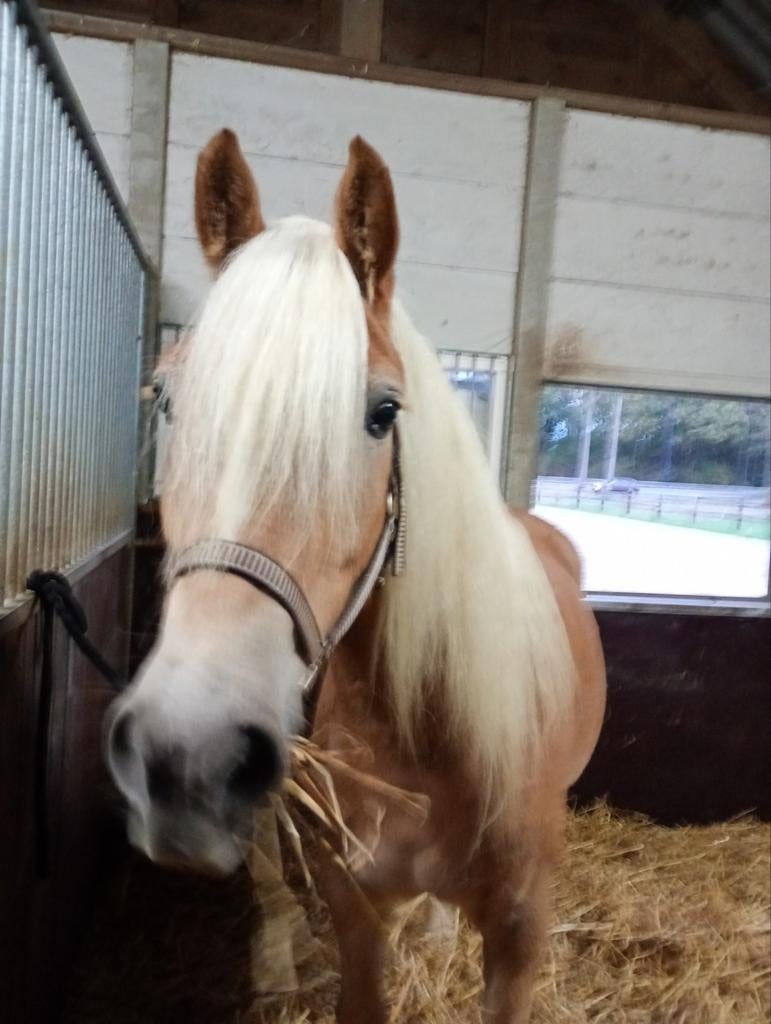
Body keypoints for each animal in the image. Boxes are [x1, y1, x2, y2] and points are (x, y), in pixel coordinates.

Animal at [106, 128, 606, 1023]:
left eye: (382, 413)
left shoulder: (519, 938)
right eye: (164, 397)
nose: (185, 753)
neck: (430, 743)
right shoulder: (359, 912)